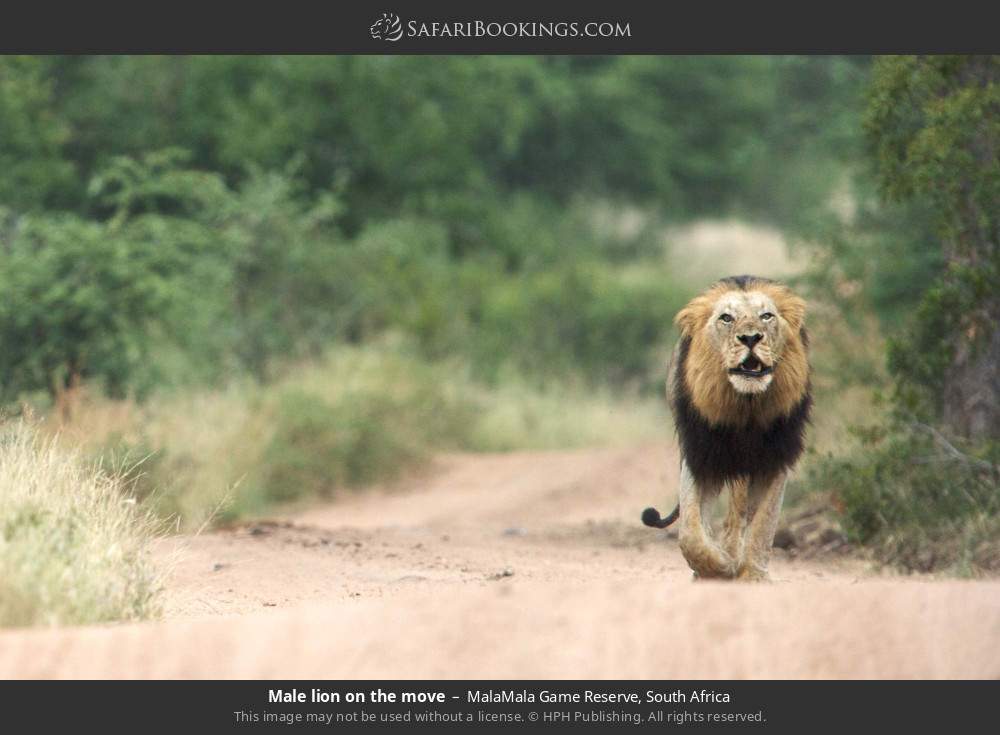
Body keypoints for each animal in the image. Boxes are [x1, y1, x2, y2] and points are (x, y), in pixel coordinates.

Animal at [642, 275, 811, 581]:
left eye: (766, 316)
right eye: (726, 318)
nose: (751, 338)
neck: (745, 408)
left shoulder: (776, 458)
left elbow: (763, 524)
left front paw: (752, 573)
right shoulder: (700, 456)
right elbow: (691, 533)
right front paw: (716, 566)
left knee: (742, 512)